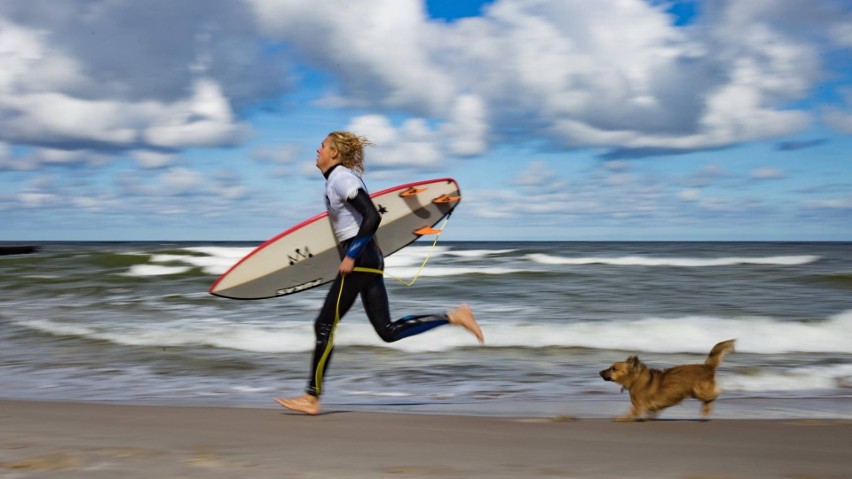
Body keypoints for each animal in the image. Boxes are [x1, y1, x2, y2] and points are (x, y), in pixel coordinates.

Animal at [600, 340, 732, 422]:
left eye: (614, 368)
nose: (599, 372)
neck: (635, 379)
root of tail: (707, 366)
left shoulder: (639, 405)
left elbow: (630, 412)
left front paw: (621, 418)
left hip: (699, 390)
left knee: (715, 394)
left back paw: (706, 409)